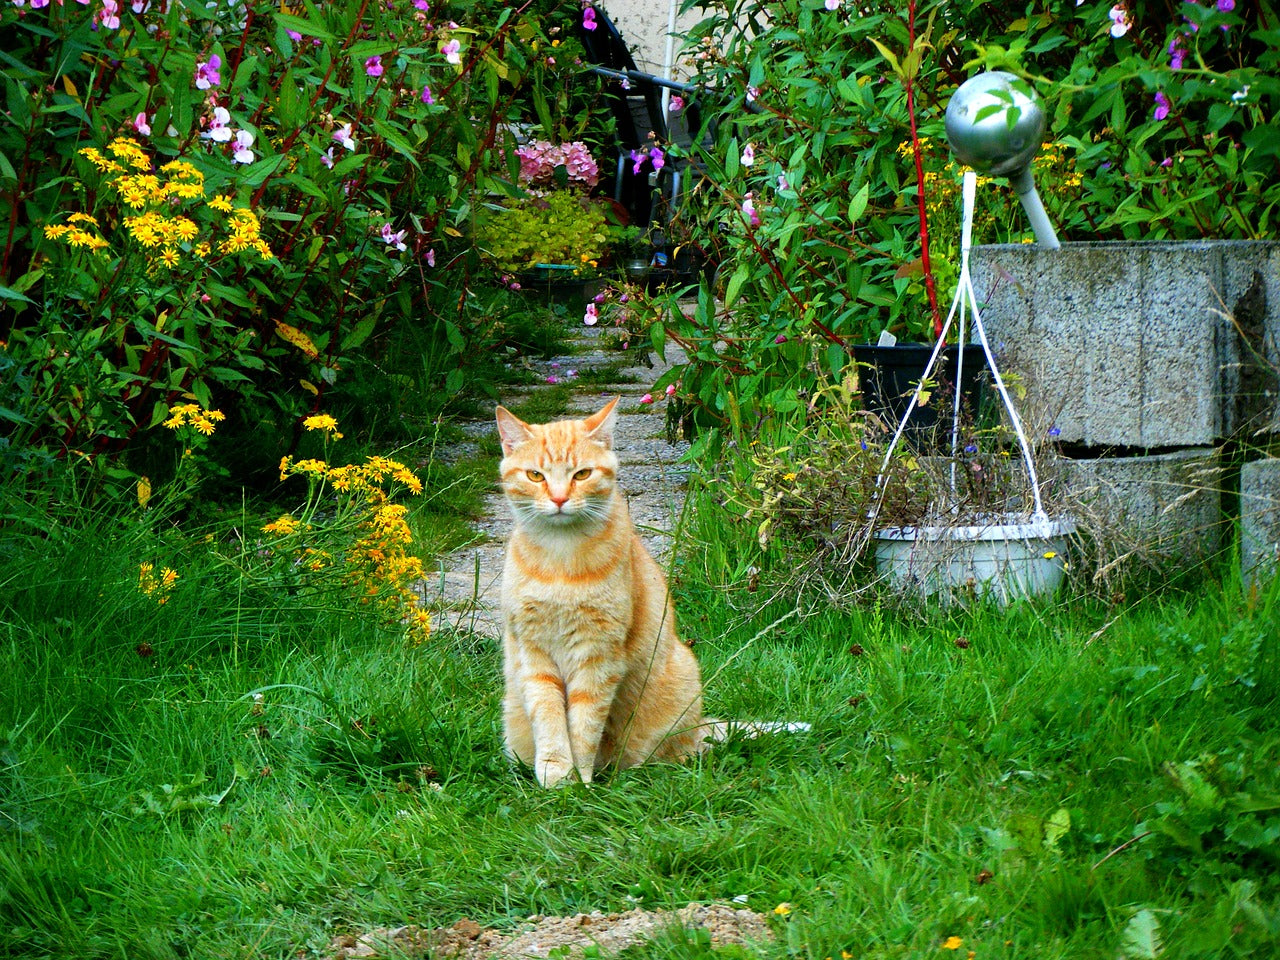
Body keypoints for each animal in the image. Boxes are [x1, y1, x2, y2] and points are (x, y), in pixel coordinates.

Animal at [494, 399, 711, 788]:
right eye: (536, 476)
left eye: (582, 475)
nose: (560, 498)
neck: (560, 557)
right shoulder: (533, 654)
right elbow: (549, 719)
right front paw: (555, 775)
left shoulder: (598, 655)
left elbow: (584, 725)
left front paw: (579, 780)